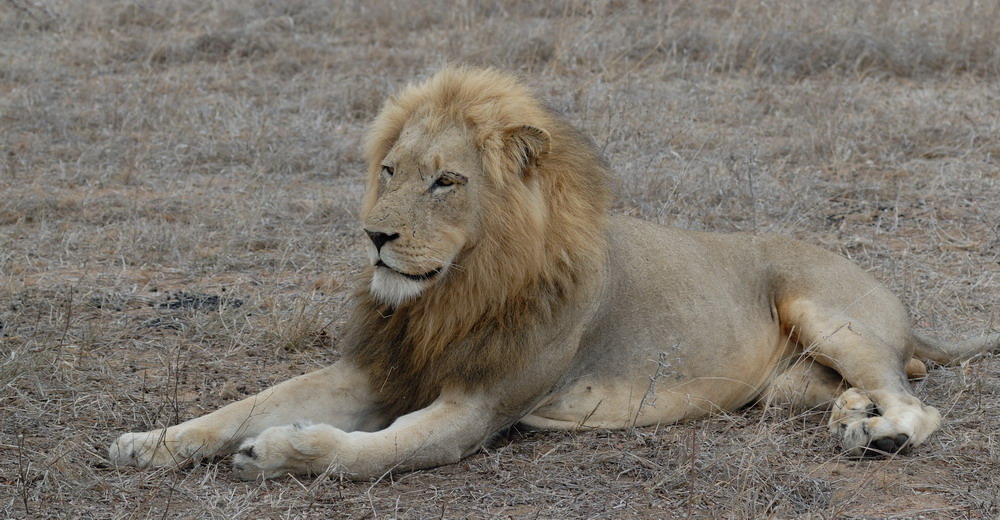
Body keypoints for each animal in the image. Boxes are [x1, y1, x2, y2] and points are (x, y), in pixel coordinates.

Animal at [105, 65, 996, 480]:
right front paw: (148, 443)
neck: (454, 293)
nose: (375, 236)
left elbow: (369, 452)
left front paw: (282, 453)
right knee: (861, 390)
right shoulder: (382, 367)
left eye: (446, 181)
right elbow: (242, 405)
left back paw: (878, 435)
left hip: (828, 311)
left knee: (917, 403)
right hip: (786, 384)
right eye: (388, 170)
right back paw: (851, 416)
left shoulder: (479, 407)